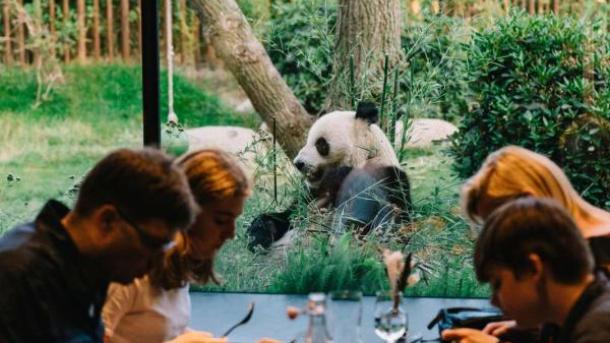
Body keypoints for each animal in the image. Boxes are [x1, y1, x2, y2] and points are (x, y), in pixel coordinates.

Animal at [245, 101, 410, 251]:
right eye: (307, 141)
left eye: (321, 144)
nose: (298, 163)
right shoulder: (311, 193)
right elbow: (288, 215)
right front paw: (257, 235)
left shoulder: (385, 180)